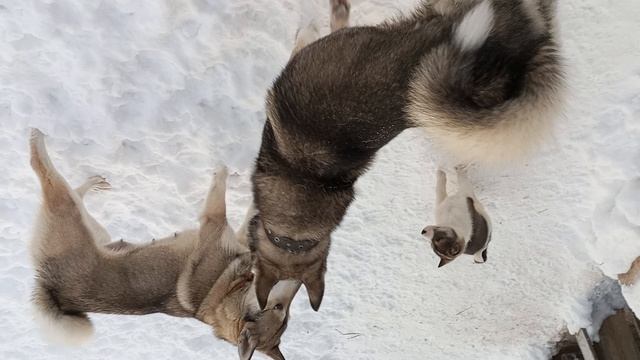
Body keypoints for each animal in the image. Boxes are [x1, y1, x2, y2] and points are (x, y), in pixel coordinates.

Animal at [28, 129, 300, 360]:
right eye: (281, 309)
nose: (298, 281)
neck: (225, 292)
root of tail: (51, 286)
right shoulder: (230, 232)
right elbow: (246, 207)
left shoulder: (216, 223)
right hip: (94, 227)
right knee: (66, 185)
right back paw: (88, 179)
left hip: (72, 214)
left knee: (45, 173)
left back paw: (37, 140)